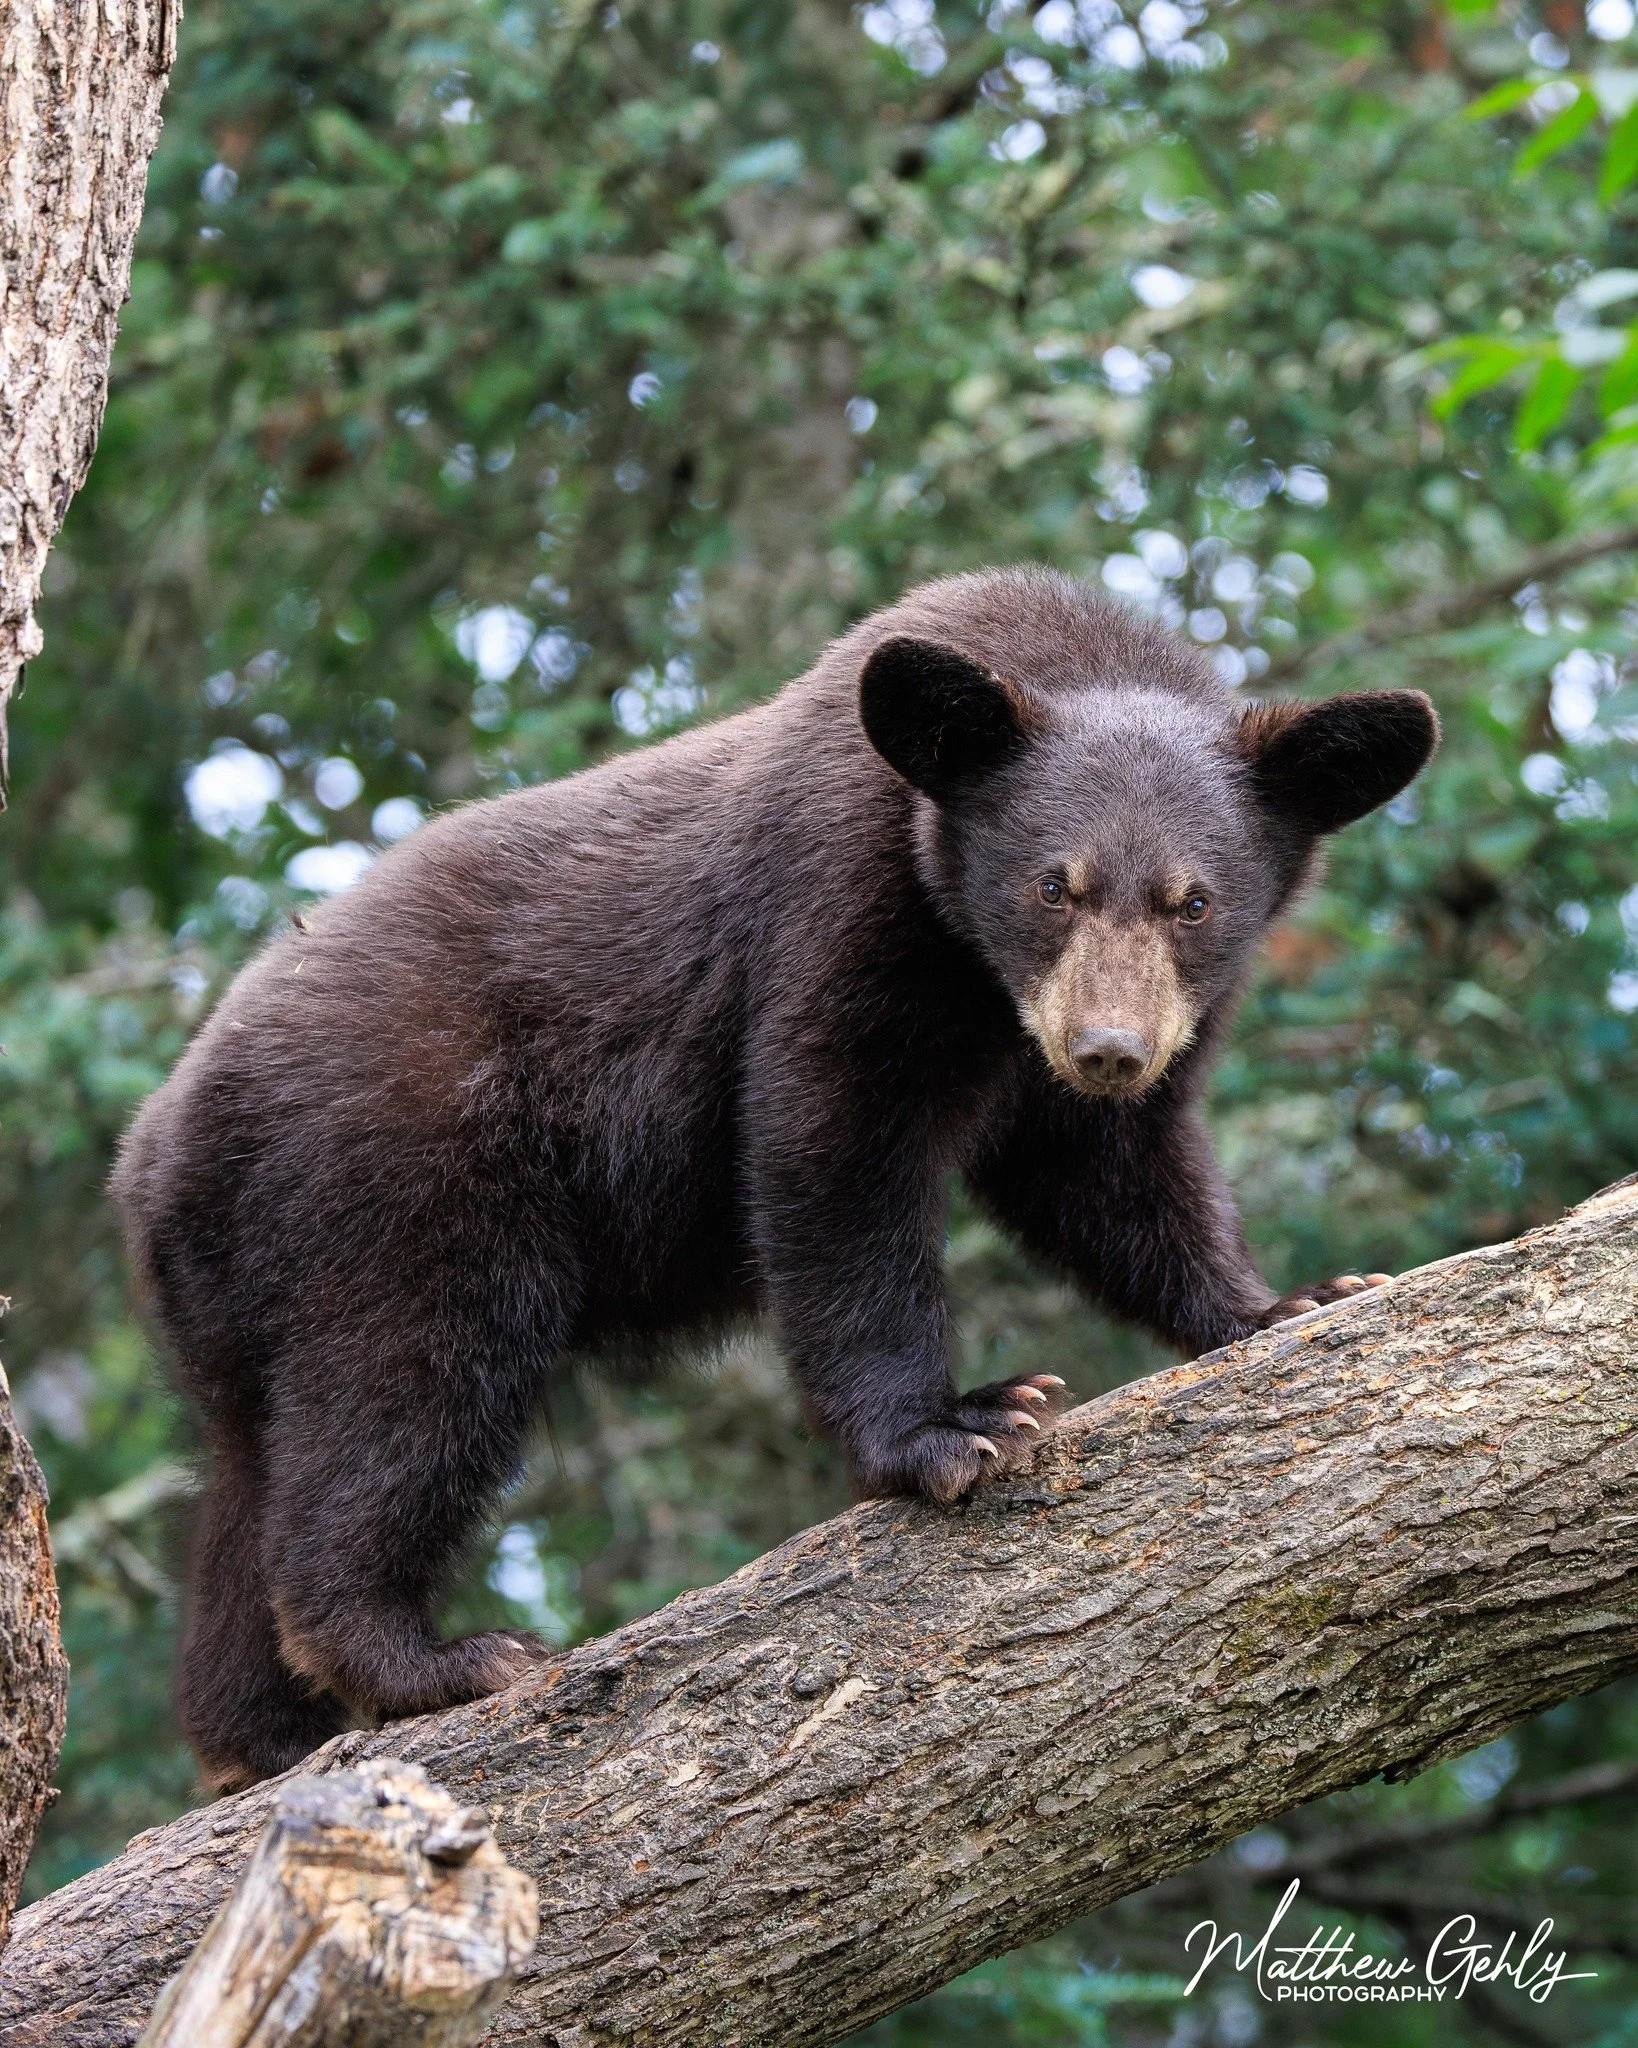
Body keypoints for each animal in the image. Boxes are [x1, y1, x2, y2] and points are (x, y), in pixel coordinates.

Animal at [113, 565, 1438, 1791]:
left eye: (1192, 899)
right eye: (1050, 884)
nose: (1105, 1049)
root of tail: (155, 1148)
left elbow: (1111, 1168)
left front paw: (1286, 1299)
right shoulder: (838, 904)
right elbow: (833, 1155)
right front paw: (958, 1425)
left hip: (242, 1281)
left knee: (251, 1468)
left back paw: (259, 1733)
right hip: (399, 1159)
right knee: (411, 1376)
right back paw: (430, 1656)